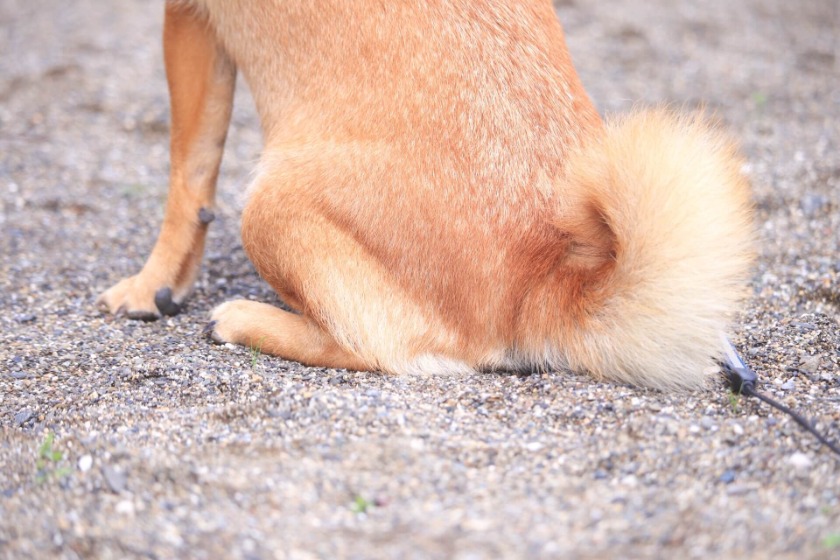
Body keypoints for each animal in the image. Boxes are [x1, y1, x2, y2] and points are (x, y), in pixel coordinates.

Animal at [98, 1, 756, 390]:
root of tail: (549, 278)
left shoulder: (186, 20)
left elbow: (186, 176)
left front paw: (149, 286)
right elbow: (195, 176)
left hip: (270, 203)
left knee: (382, 349)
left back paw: (244, 320)